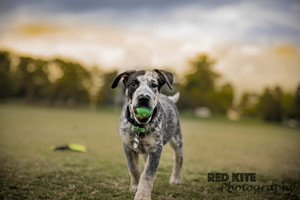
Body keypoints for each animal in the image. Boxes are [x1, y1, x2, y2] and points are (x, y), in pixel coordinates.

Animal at [112, 69, 184, 200]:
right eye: (133, 84)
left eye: (154, 84)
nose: (144, 98)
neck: (139, 126)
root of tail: (169, 98)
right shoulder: (128, 146)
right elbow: (133, 167)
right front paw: (135, 186)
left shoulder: (156, 148)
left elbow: (148, 174)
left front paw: (142, 195)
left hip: (177, 139)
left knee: (178, 158)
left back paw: (176, 178)